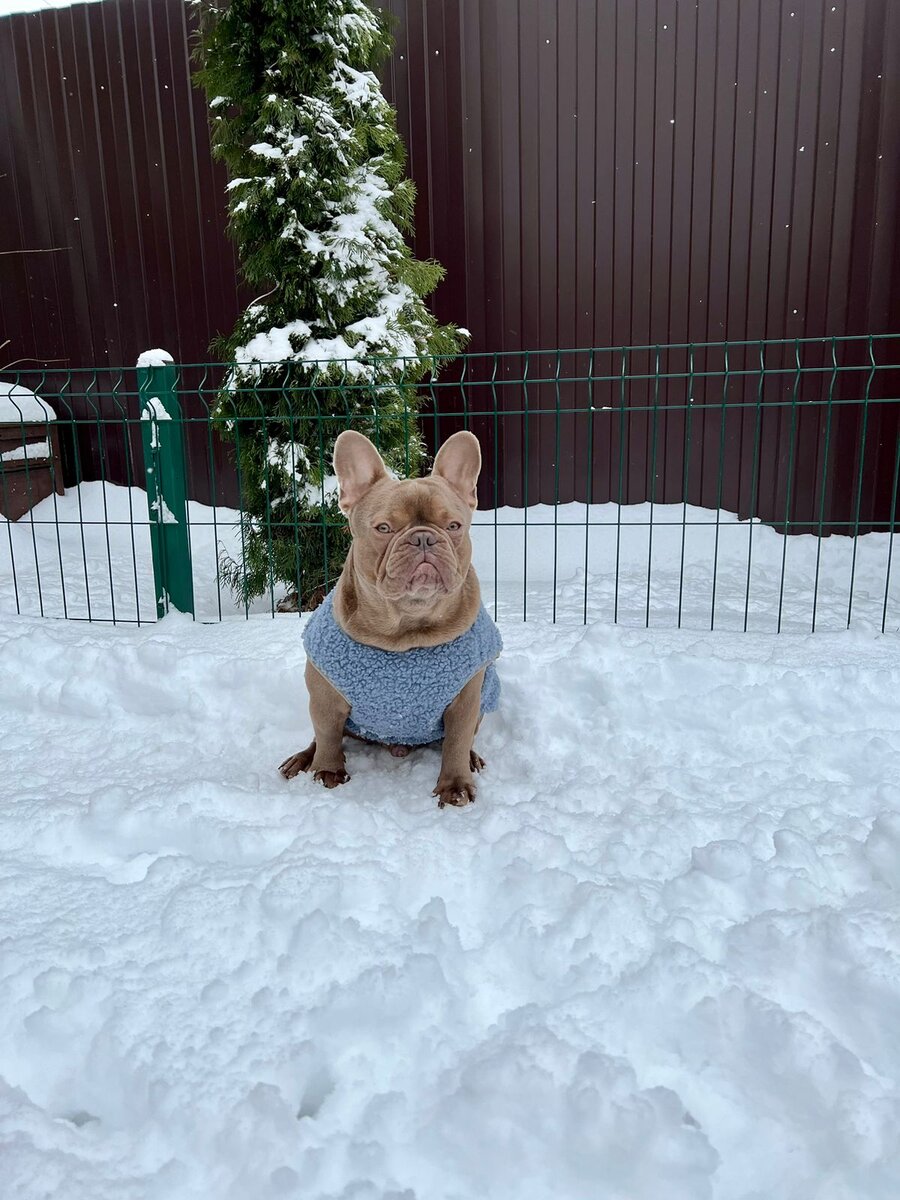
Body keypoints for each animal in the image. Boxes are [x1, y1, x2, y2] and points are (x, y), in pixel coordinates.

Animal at [278, 427, 504, 811]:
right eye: (383, 528)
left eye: (454, 525)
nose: (424, 537)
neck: (407, 629)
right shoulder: (325, 695)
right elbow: (326, 734)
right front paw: (327, 772)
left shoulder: (465, 701)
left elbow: (457, 742)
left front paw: (455, 786)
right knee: (323, 738)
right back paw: (302, 760)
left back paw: (473, 760)